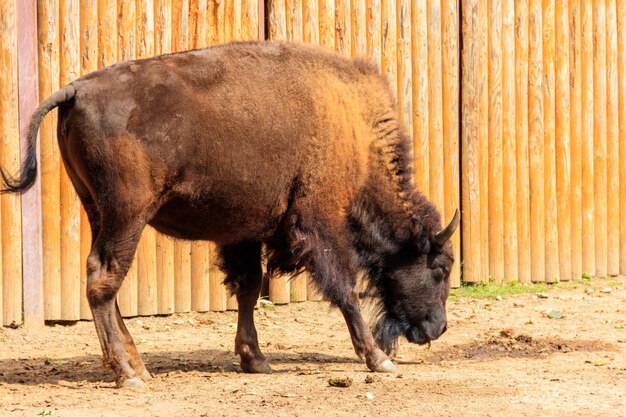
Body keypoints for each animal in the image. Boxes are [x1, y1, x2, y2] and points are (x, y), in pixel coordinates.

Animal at [1, 40, 458, 388]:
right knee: (103, 278)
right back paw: (129, 374)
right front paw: (379, 359)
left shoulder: (245, 234)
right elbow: (344, 289)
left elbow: (249, 289)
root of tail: (77, 89)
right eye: (439, 268)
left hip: (98, 212)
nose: (438, 328)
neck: (354, 129)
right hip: (127, 215)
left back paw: (137, 365)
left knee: (105, 283)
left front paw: (255, 359)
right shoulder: (320, 222)